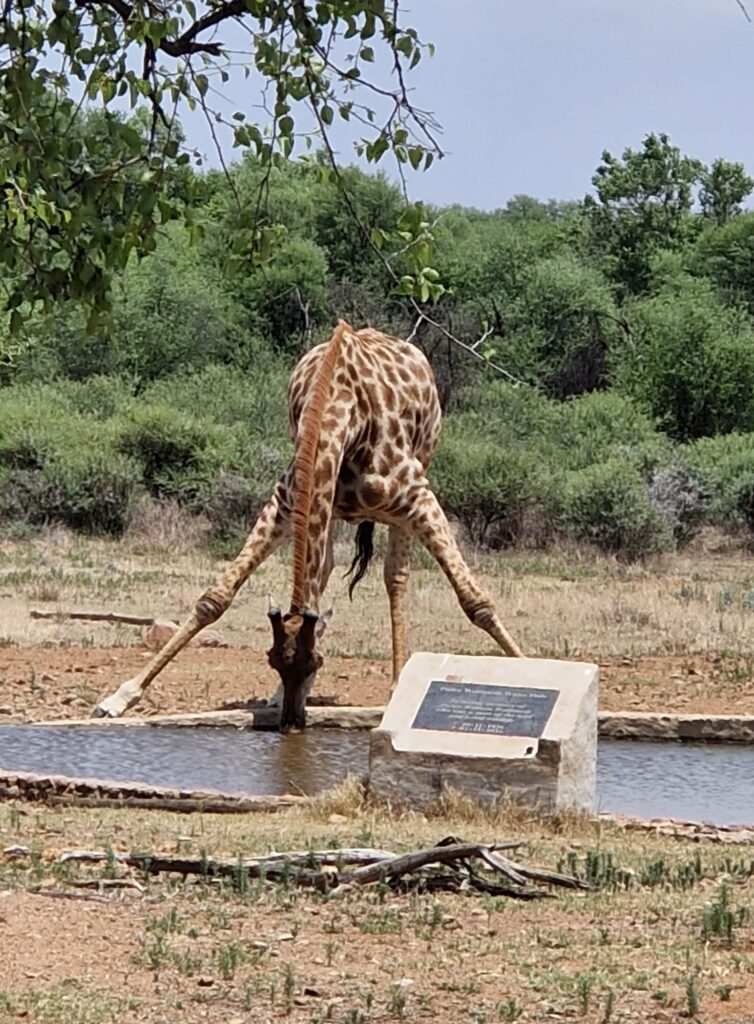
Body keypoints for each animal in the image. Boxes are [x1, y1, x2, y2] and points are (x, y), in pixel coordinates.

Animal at [91, 319, 520, 729]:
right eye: (271, 659)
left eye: (318, 662)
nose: (292, 724)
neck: (339, 409)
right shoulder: (286, 500)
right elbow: (215, 599)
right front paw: (117, 698)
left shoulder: (416, 494)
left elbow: (475, 602)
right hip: (324, 505)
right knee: (326, 567)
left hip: (421, 464)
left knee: (396, 577)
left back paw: (398, 685)